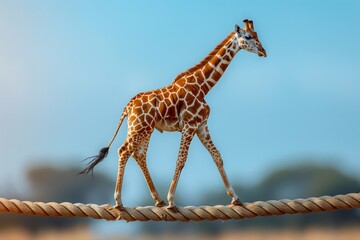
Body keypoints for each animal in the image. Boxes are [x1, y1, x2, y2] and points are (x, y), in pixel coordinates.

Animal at [80, 18, 266, 211]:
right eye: (248, 36)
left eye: (256, 35)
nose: (263, 51)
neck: (203, 86)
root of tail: (128, 107)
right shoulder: (190, 125)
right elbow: (181, 160)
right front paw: (171, 200)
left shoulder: (201, 126)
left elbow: (217, 156)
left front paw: (235, 198)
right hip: (139, 127)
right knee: (124, 150)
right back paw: (119, 200)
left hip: (144, 129)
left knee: (139, 155)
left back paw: (158, 199)